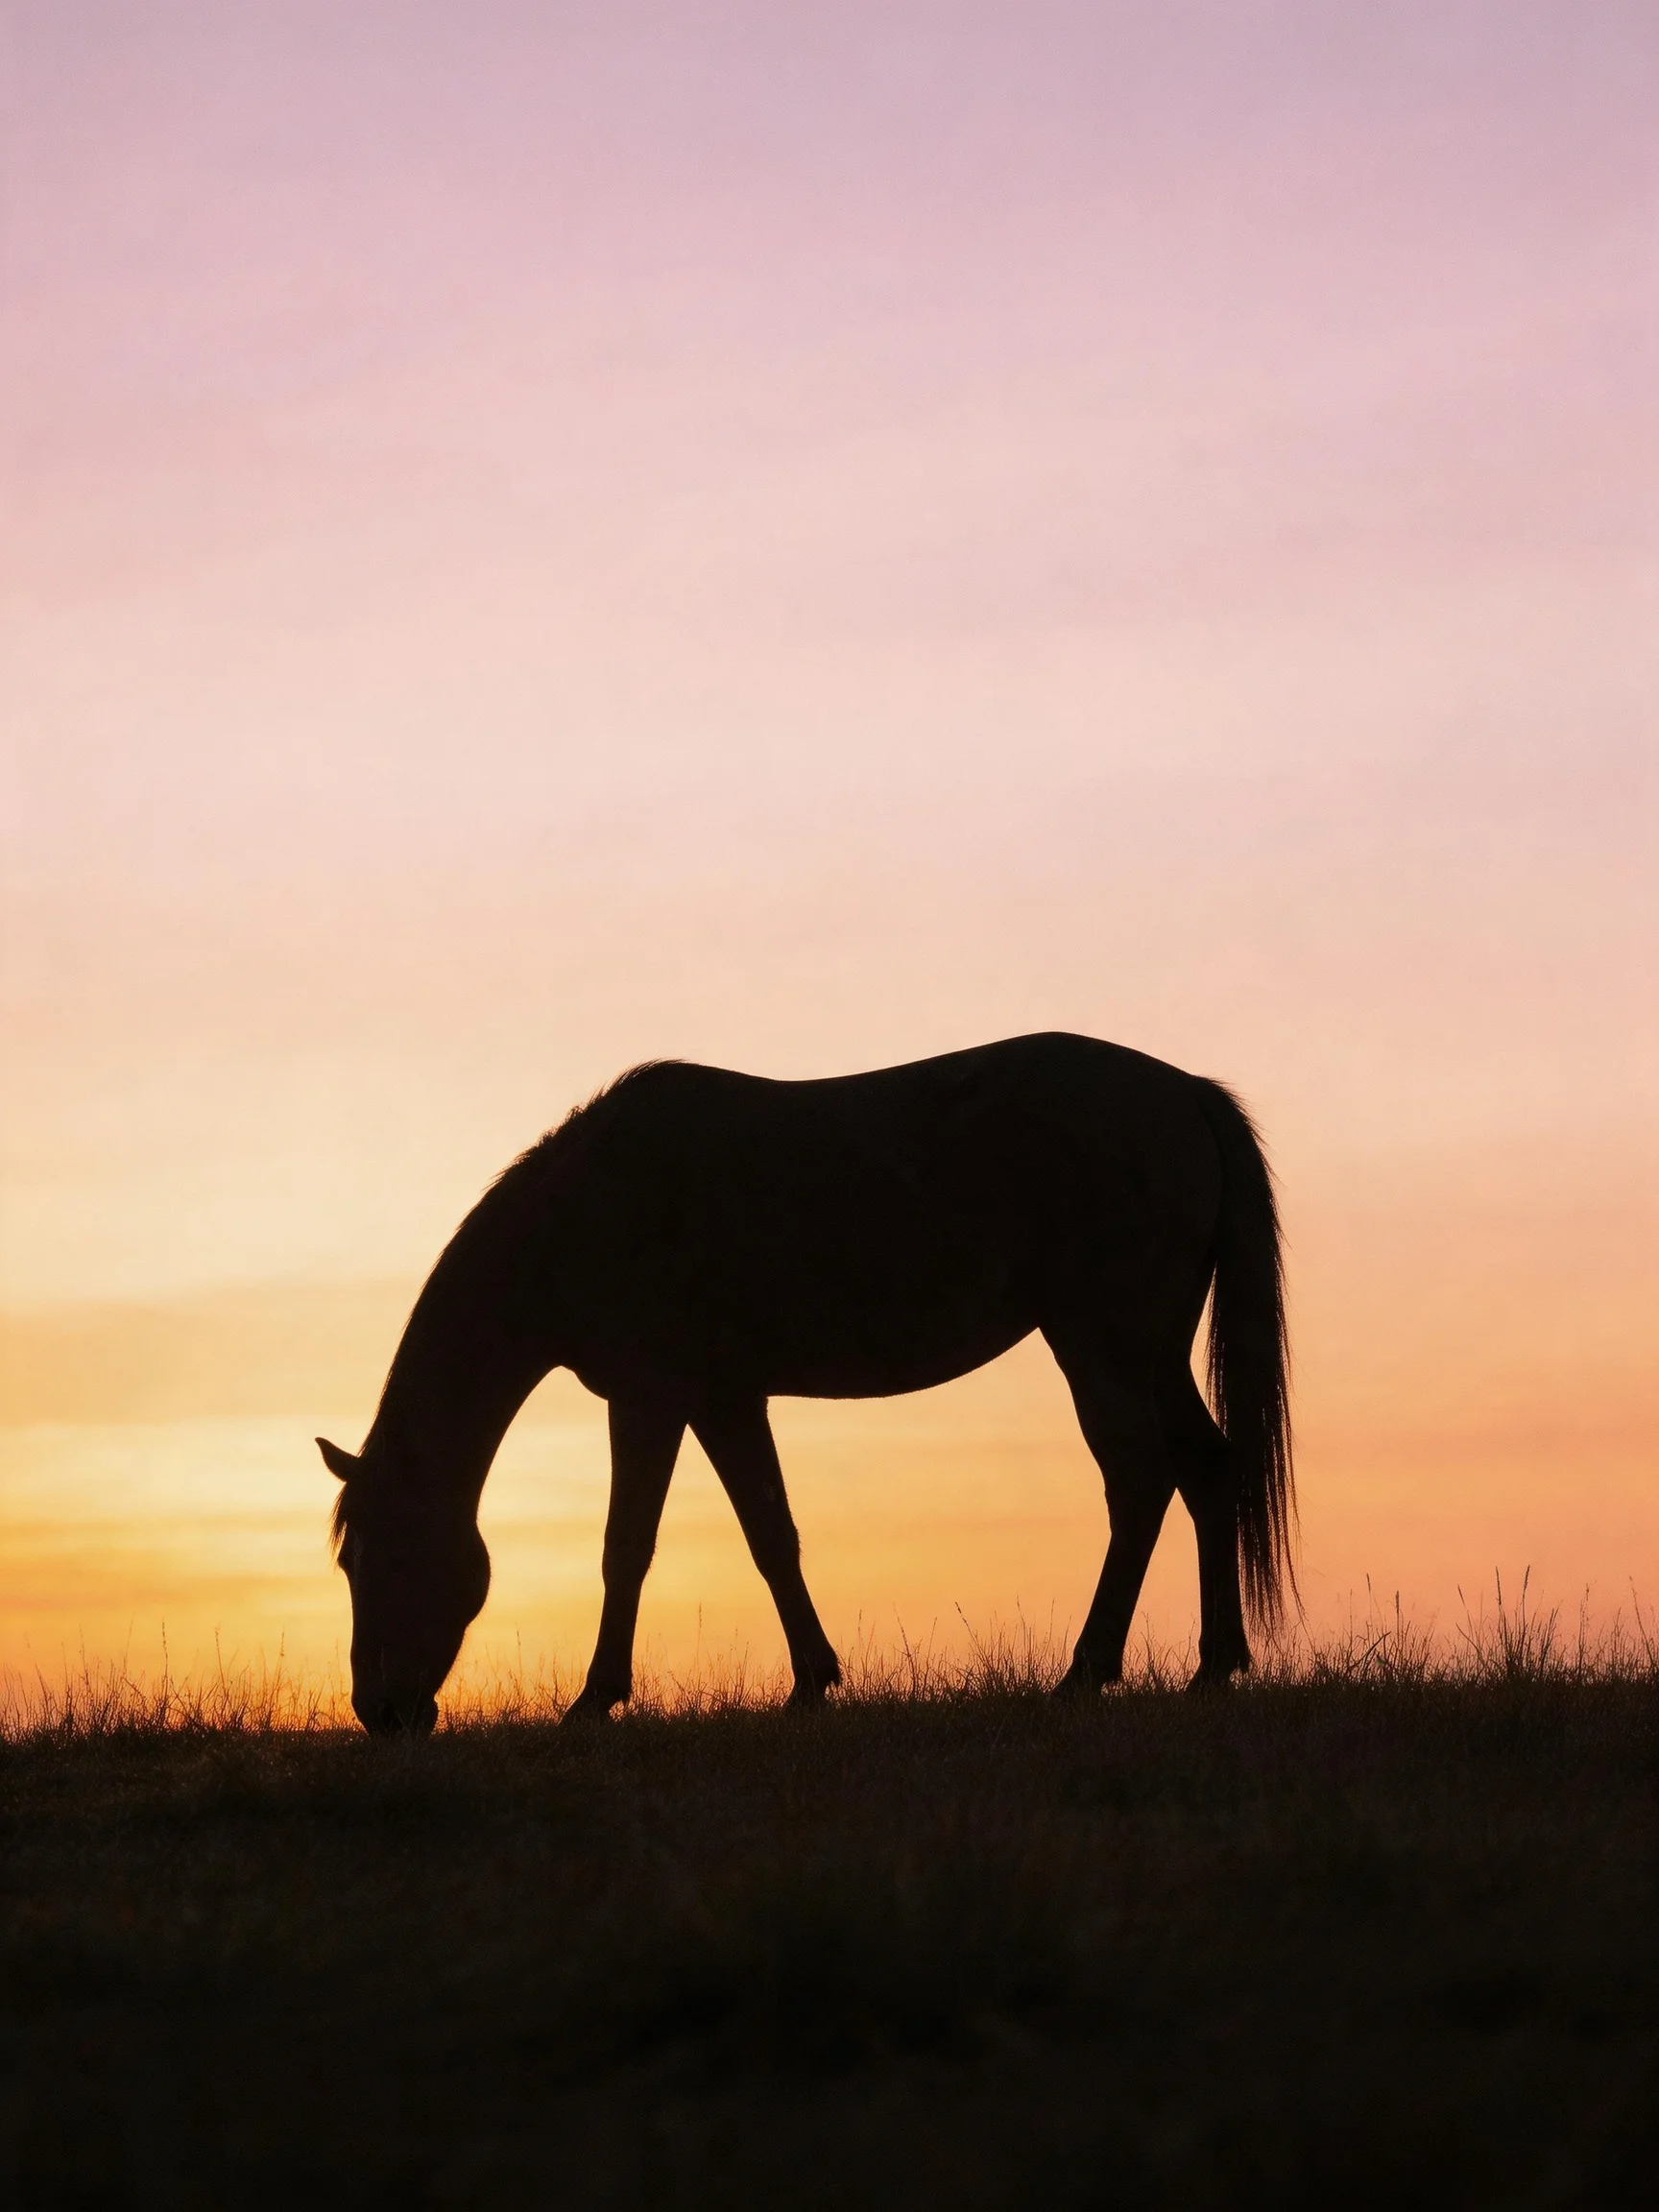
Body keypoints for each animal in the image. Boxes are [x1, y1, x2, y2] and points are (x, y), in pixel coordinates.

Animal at [318, 1032, 1293, 1734]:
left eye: (388, 1555)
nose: (380, 1711)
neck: (588, 1212)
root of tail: (1185, 1093)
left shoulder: (649, 1396)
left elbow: (625, 1546)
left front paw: (594, 1700)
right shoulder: (723, 1399)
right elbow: (770, 1535)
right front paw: (813, 1682)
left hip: (1102, 1346)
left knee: (1139, 1482)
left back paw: (1085, 1672)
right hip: (1153, 1351)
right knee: (1208, 1471)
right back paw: (1215, 1666)